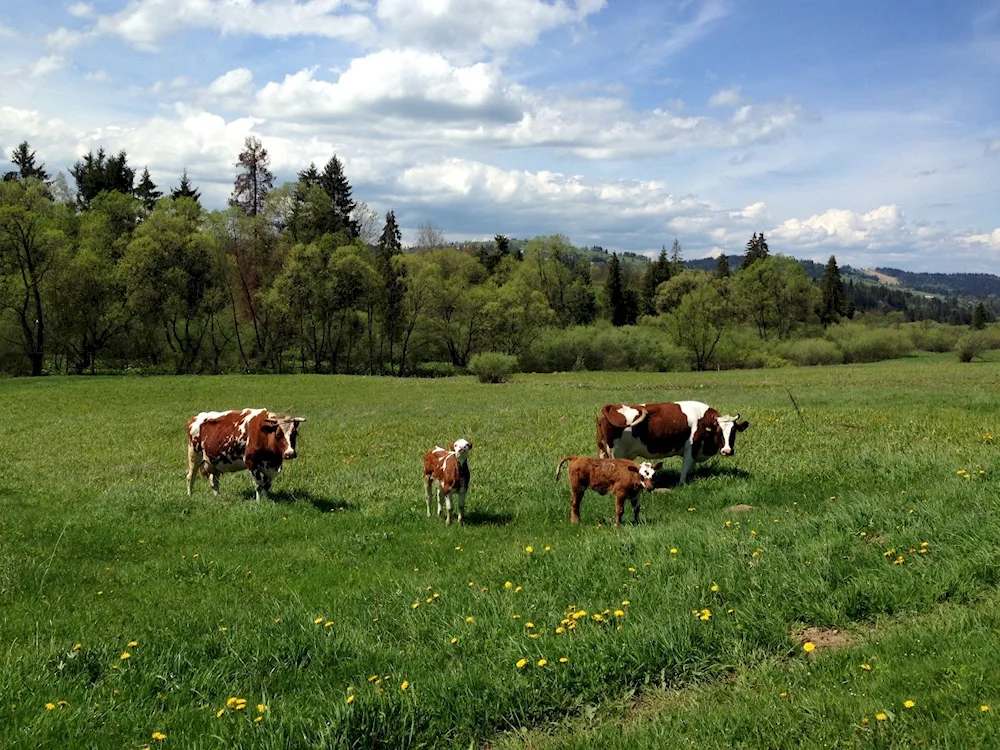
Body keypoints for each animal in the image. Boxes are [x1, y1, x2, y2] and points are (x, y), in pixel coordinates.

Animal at [592, 400, 752, 488]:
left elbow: (691, 469)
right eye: (719, 431)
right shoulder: (691, 448)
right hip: (616, 453)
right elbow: (685, 468)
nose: (727, 451)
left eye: (734, 431)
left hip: (602, 450)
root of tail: (611, 406)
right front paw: (681, 485)